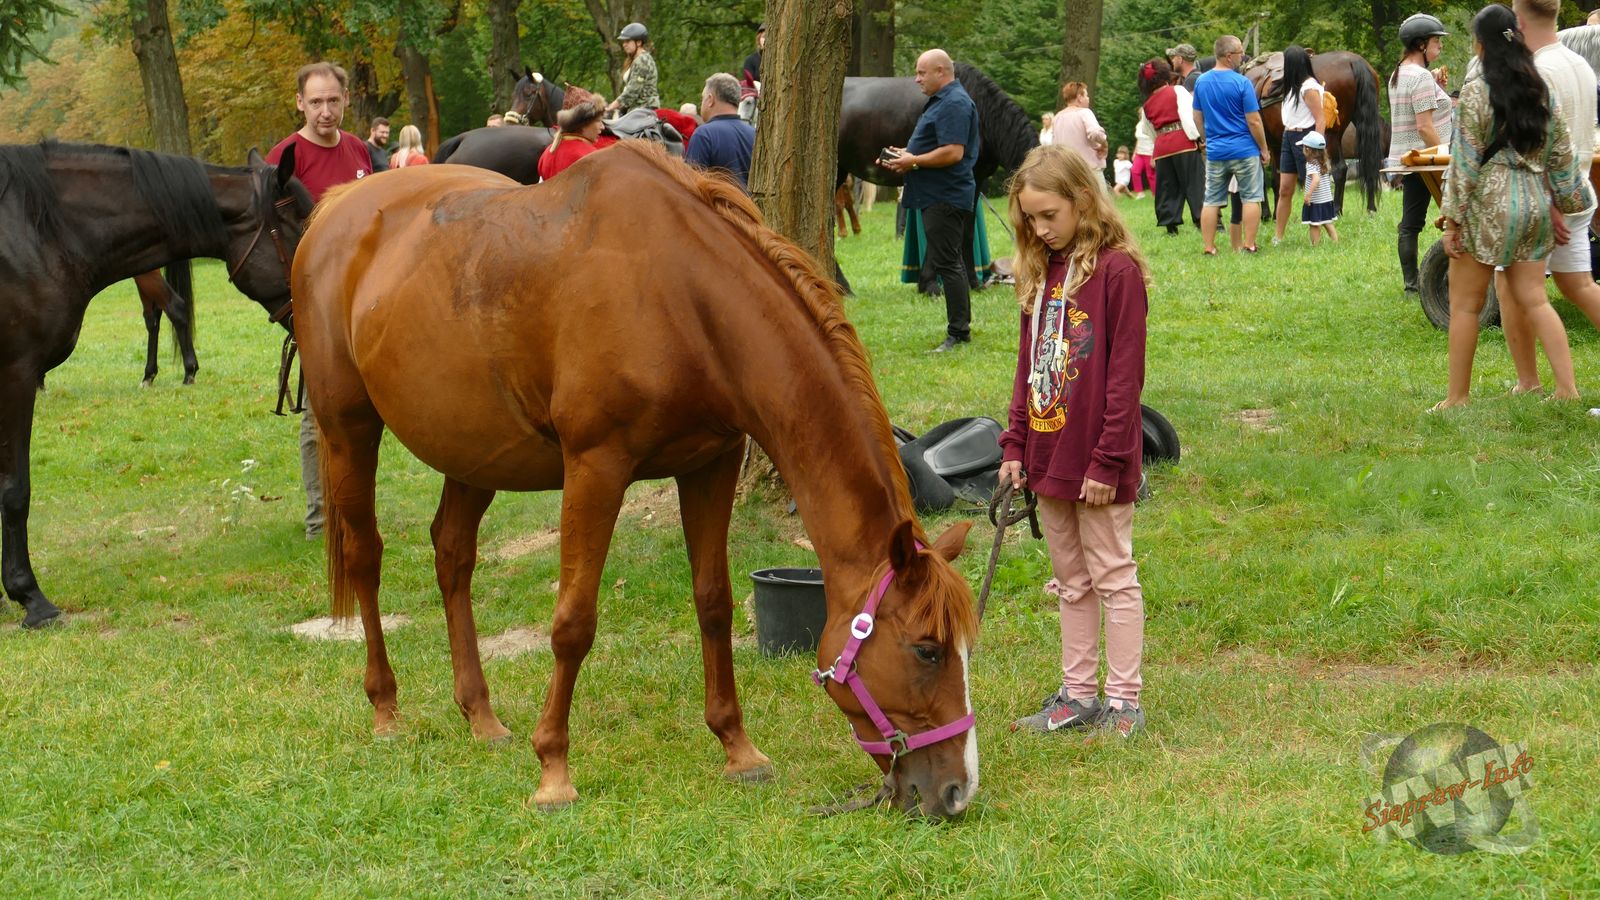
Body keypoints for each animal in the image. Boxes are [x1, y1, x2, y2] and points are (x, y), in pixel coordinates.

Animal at [292, 143, 981, 817]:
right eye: (927, 649)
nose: (957, 791)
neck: (682, 297)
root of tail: (337, 206)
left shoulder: (710, 464)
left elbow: (713, 602)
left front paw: (738, 748)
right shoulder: (596, 467)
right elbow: (574, 622)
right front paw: (554, 771)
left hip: (476, 452)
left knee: (452, 555)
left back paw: (481, 716)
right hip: (349, 430)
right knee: (365, 558)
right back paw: (386, 708)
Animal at [1246, 50, 1384, 214]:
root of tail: (1355, 61)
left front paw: (1267, 214)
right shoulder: (1275, 145)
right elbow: (1276, 180)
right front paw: (1274, 213)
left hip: (1330, 135)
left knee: (1339, 169)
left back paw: (1336, 209)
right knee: (1370, 163)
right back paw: (1371, 208)